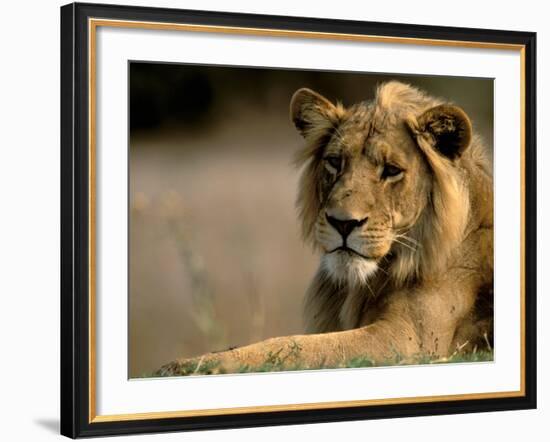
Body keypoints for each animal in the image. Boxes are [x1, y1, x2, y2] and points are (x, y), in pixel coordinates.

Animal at [156, 80, 496, 376]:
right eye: (335, 162)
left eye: (391, 170)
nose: (343, 222)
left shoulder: (411, 339)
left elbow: (293, 347)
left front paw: (188, 366)